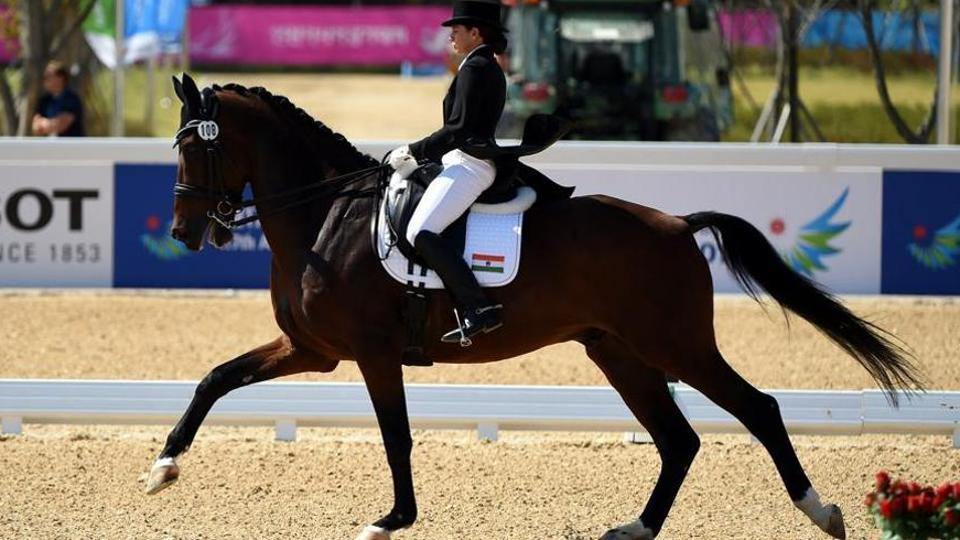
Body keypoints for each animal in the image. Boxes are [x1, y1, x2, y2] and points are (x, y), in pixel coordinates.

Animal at [146, 74, 922, 540]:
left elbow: (396, 436)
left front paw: (391, 520)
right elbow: (215, 378)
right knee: (679, 439)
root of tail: (677, 224)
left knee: (756, 409)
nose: (184, 232)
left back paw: (821, 511)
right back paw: (635, 528)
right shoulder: (314, 350)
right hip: (618, 351)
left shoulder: (369, 353)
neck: (324, 216)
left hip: (674, 345)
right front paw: (162, 468)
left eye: (196, 149)